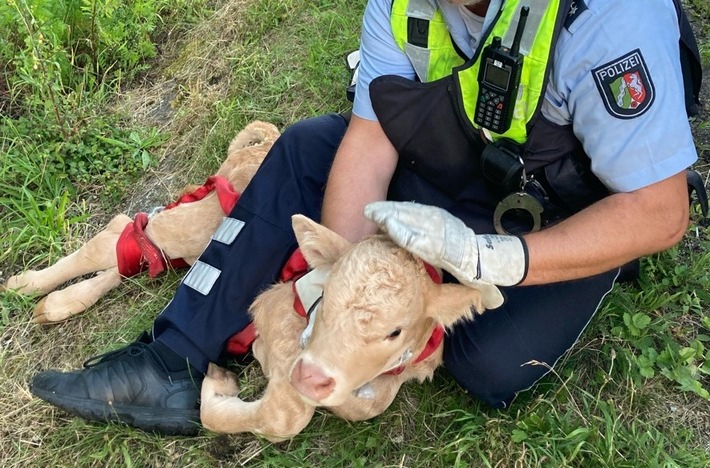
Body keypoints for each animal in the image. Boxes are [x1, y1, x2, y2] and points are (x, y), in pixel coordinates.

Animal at [197, 214, 504, 440]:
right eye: (324, 295)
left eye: (395, 332)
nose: (309, 378)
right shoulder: (280, 313)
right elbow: (282, 417)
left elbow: (371, 403)